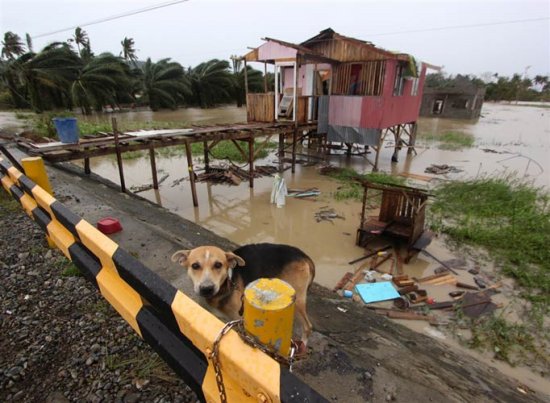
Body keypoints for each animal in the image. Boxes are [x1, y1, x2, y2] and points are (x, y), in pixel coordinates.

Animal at [172, 243, 320, 348]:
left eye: (218, 265)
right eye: (195, 266)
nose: (206, 289)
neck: (224, 287)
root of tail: (304, 255)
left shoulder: (237, 320)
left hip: (297, 299)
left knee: (308, 326)